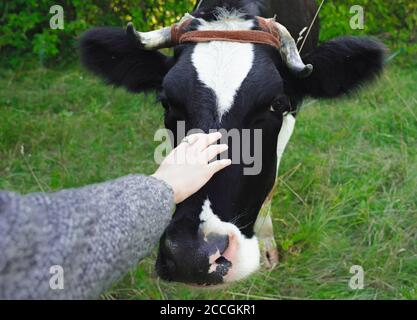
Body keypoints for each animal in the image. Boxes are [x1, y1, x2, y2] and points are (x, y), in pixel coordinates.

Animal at [78, 0, 384, 284]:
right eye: (166, 102)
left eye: (276, 103)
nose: (192, 256)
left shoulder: (292, 111)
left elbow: (271, 182)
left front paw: (268, 248)